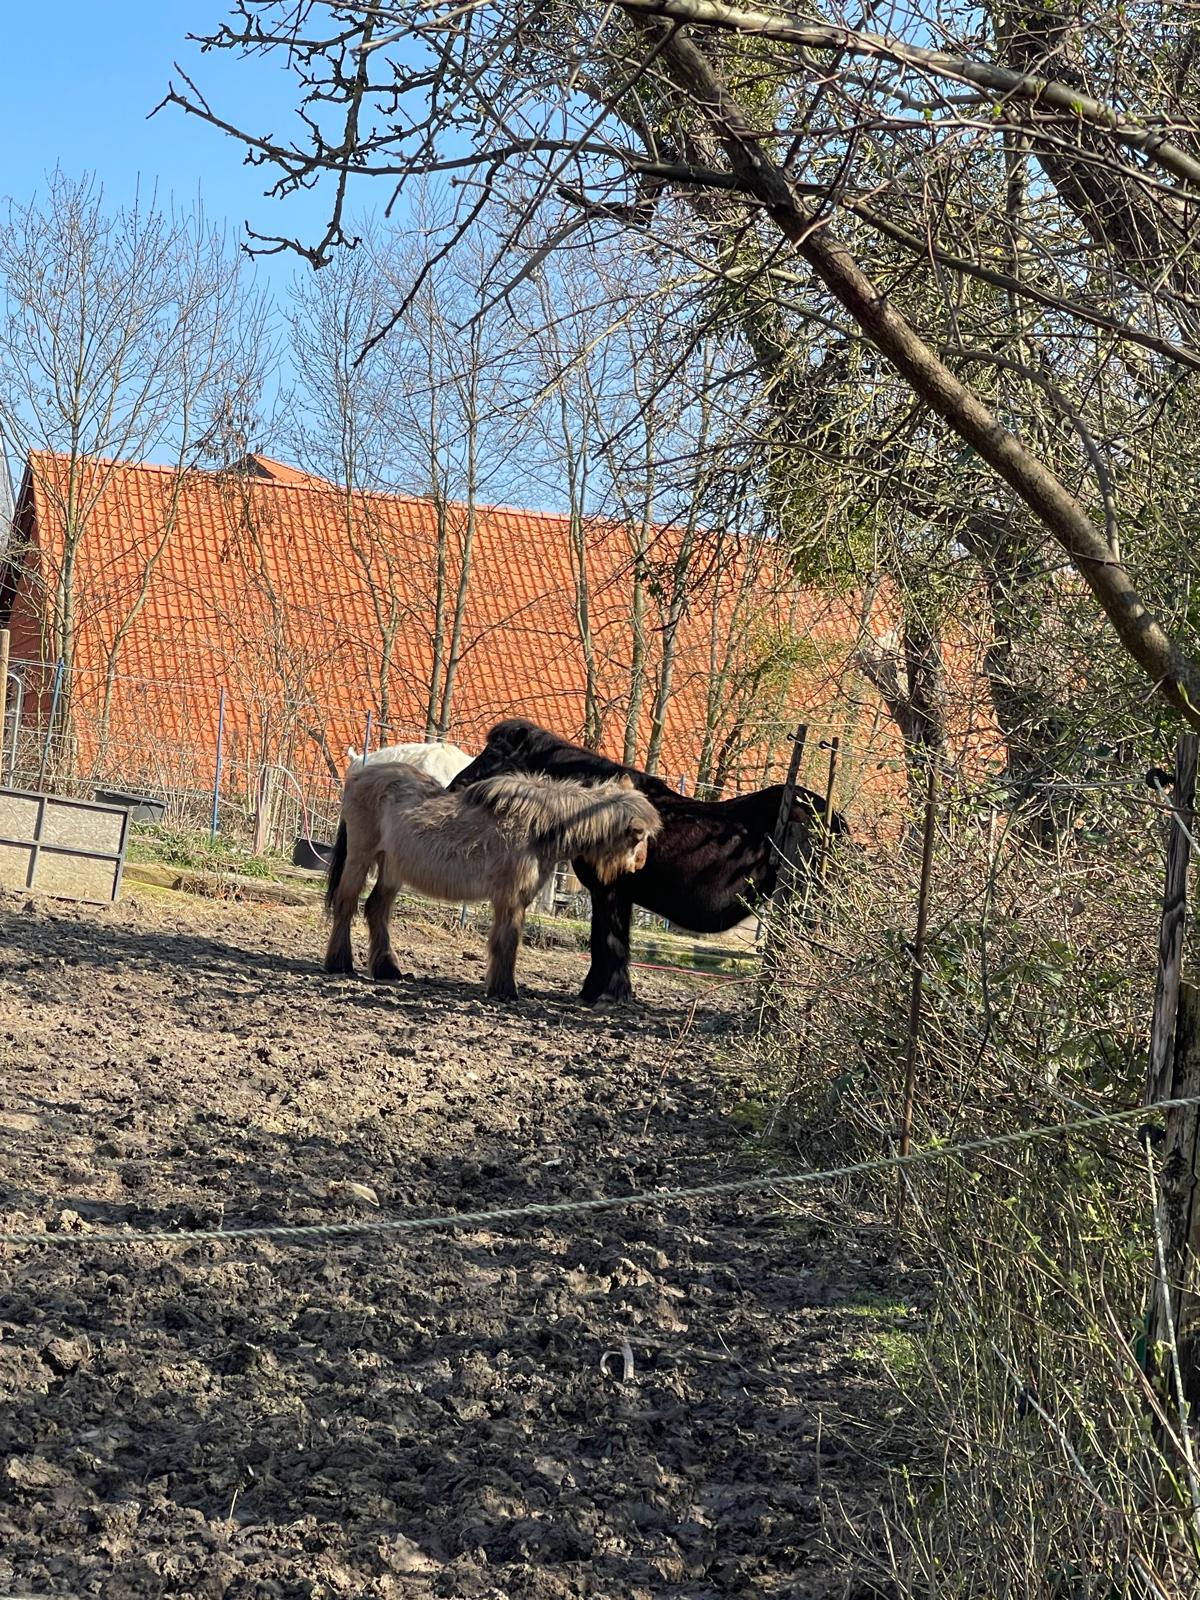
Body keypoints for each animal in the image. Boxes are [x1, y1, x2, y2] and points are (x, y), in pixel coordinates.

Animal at [324, 762, 662, 1001]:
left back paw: (387, 970)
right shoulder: (509, 897)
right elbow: (506, 941)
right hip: (360, 856)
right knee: (346, 904)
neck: (541, 827)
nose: (642, 864)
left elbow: (507, 941)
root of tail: (359, 774)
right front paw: (505, 990)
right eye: (640, 837)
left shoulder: (519, 899)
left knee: (376, 909)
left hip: (392, 868)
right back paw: (339, 964)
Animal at [448, 717, 848, 1004]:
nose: (456, 786)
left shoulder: (609, 891)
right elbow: (610, 942)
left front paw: (604, 995)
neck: (598, 809)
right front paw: (604, 992)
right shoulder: (614, 895)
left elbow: (607, 941)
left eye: (496, 754)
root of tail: (832, 819)